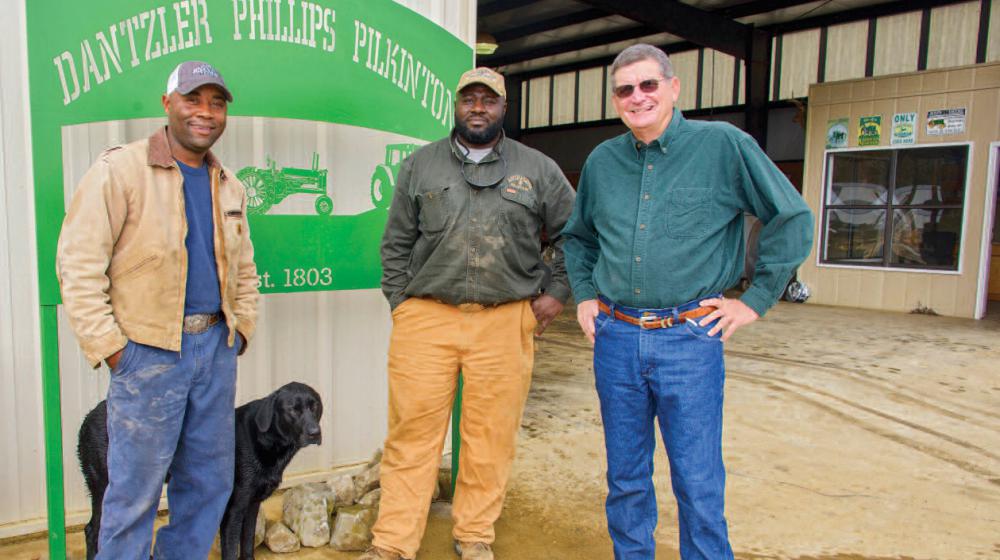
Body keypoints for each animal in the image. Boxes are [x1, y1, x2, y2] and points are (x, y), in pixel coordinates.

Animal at [82, 380, 324, 560]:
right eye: (292, 410)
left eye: (314, 407)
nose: (315, 432)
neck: (265, 439)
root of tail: (87, 418)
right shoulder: (233, 509)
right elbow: (231, 550)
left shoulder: (252, 504)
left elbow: (247, 545)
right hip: (109, 487)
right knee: (93, 530)